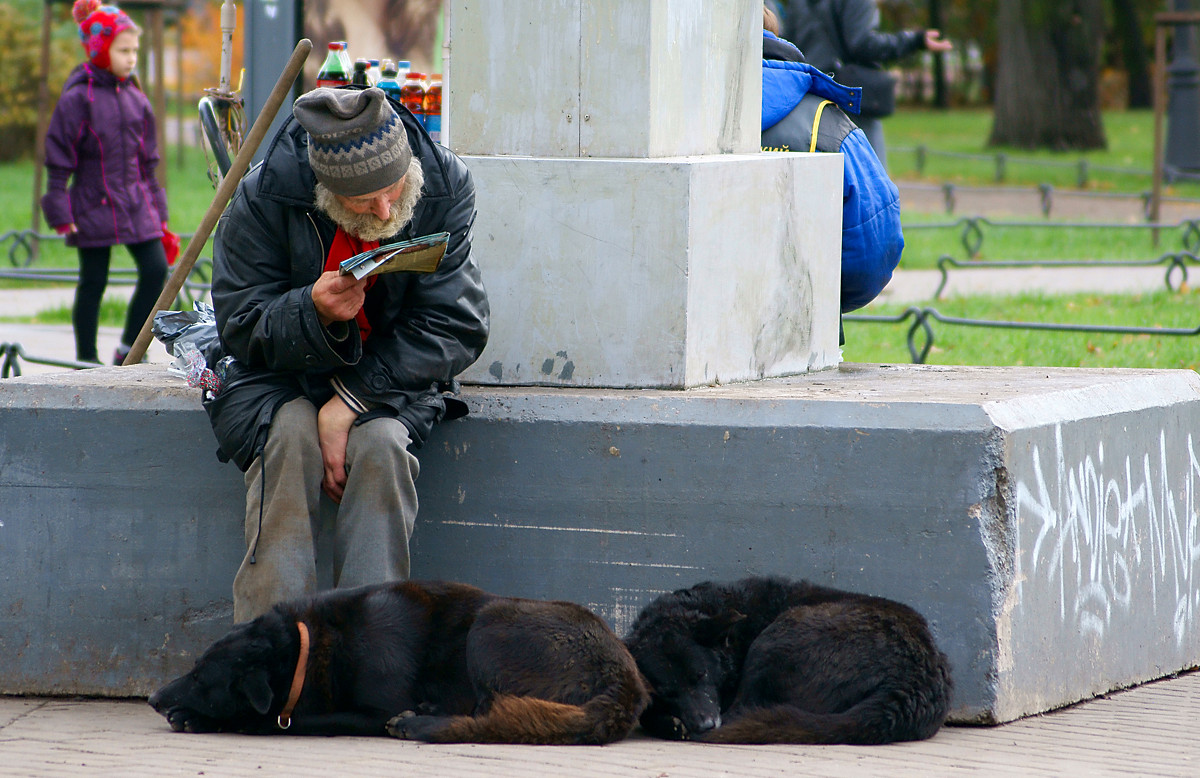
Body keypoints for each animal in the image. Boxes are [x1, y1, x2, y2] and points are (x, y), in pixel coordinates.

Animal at [154, 581, 652, 744]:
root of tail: (626, 681)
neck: (308, 647)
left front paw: (217, 719)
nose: (155, 698)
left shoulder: (372, 711)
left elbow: (291, 720)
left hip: (488, 624)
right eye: (193, 667)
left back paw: (422, 722)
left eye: (200, 679)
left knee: (489, 716)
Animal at [624, 573, 950, 744]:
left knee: (744, 709)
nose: (705, 725)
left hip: (777, 636)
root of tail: (911, 683)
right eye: (668, 692)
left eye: (701, 675)